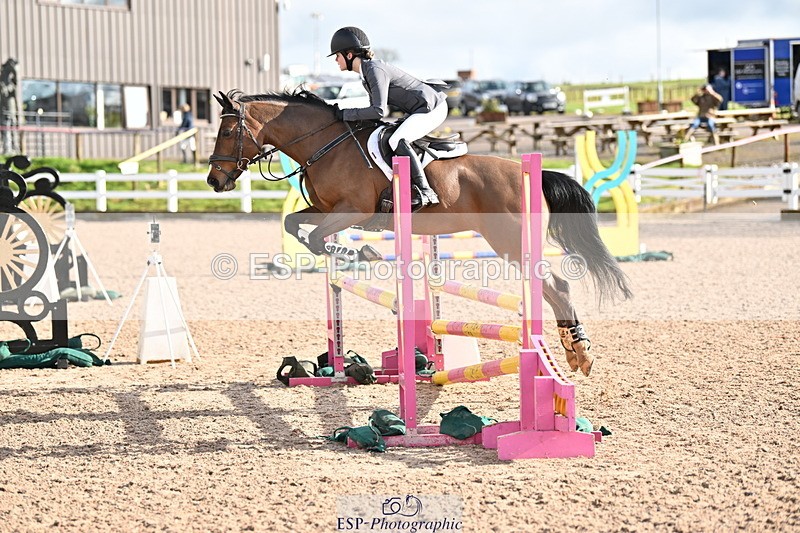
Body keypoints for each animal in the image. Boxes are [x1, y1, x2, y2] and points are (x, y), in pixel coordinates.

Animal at [206, 89, 632, 376]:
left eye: (226, 132)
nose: (214, 181)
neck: (324, 144)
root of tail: (532, 173)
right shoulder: (327, 210)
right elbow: (295, 226)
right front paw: (356, 255)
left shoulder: (352, 211)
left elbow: (313, 238)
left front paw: (363, 254)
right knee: (551, 288)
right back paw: (574, 351)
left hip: (511, 243)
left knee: (555, 285)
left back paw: (580, 351)